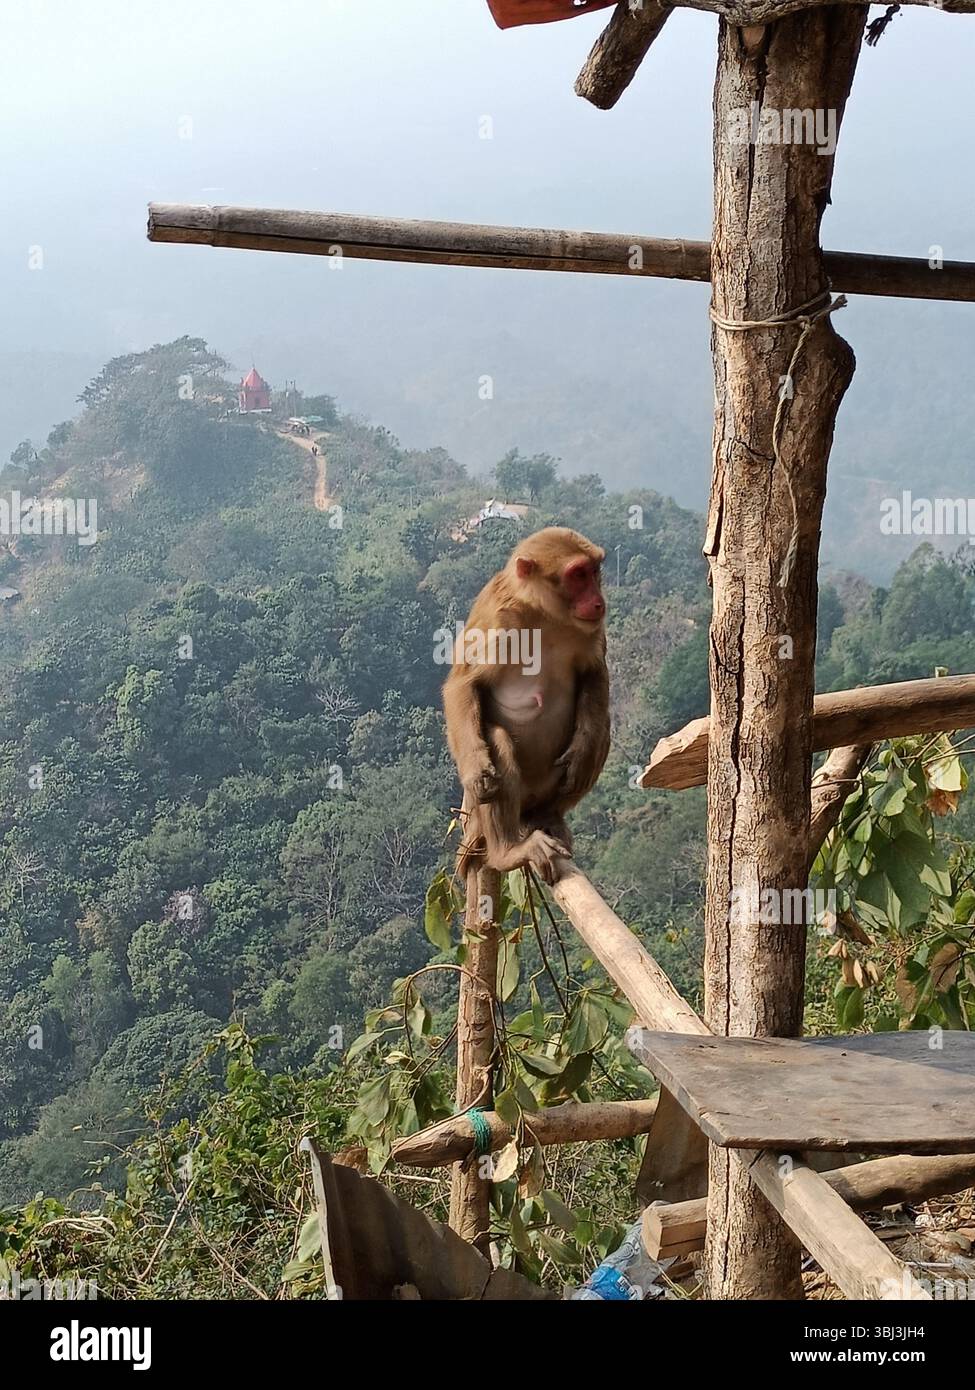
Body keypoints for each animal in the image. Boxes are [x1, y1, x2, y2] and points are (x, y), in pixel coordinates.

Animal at [443, 526, 610, 885]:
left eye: (595, 571)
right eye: (578, 575)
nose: (598, 601)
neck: (543, 613)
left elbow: (593, 672)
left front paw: (582, 750)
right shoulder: (496, 618)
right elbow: (463, 685)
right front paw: (477, 770)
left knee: (602, 728)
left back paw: (549, 816)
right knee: (498, 740)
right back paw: (507, 851)